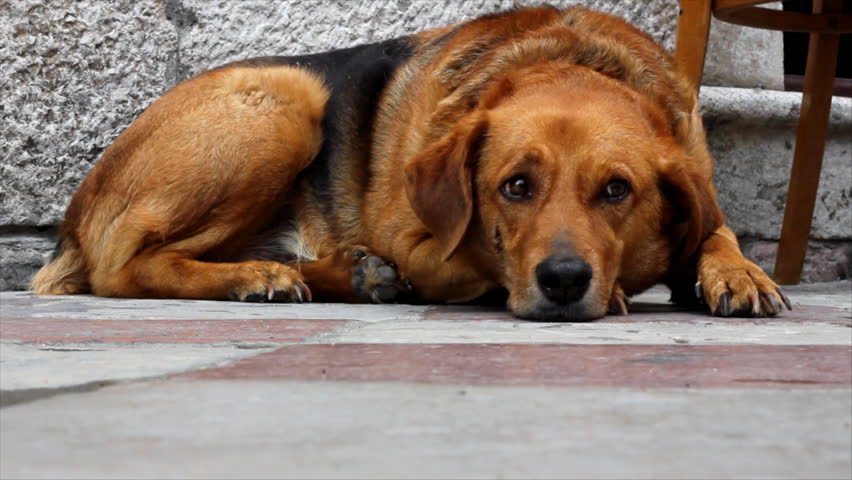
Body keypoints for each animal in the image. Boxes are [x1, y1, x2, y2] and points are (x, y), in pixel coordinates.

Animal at [33, 5, 792, 320]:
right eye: (514, 186)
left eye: (617, 190)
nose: (564, 281)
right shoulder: (418, 233)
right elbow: (462, 257)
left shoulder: (693, 179)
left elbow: (717, 232)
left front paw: (738, 273)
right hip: (288, 102)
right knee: (125, 266)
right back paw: (262, 277)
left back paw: (340, 274)